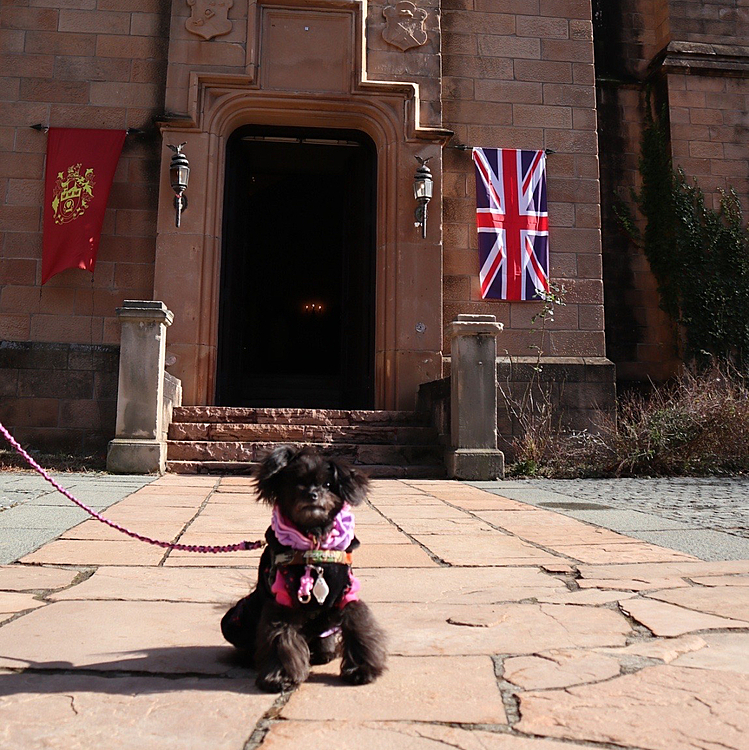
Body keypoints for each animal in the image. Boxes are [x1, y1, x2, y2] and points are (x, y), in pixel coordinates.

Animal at [221, 444, 386, 696]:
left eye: (327, 484)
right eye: (296, 482)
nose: (312, 495)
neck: (313, 540)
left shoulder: (347, 592)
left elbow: (359, 625)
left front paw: (361, 670)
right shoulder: (282, 601)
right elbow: (280, 637)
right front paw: (279, 677)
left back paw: (323, 652)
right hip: (240, 617)